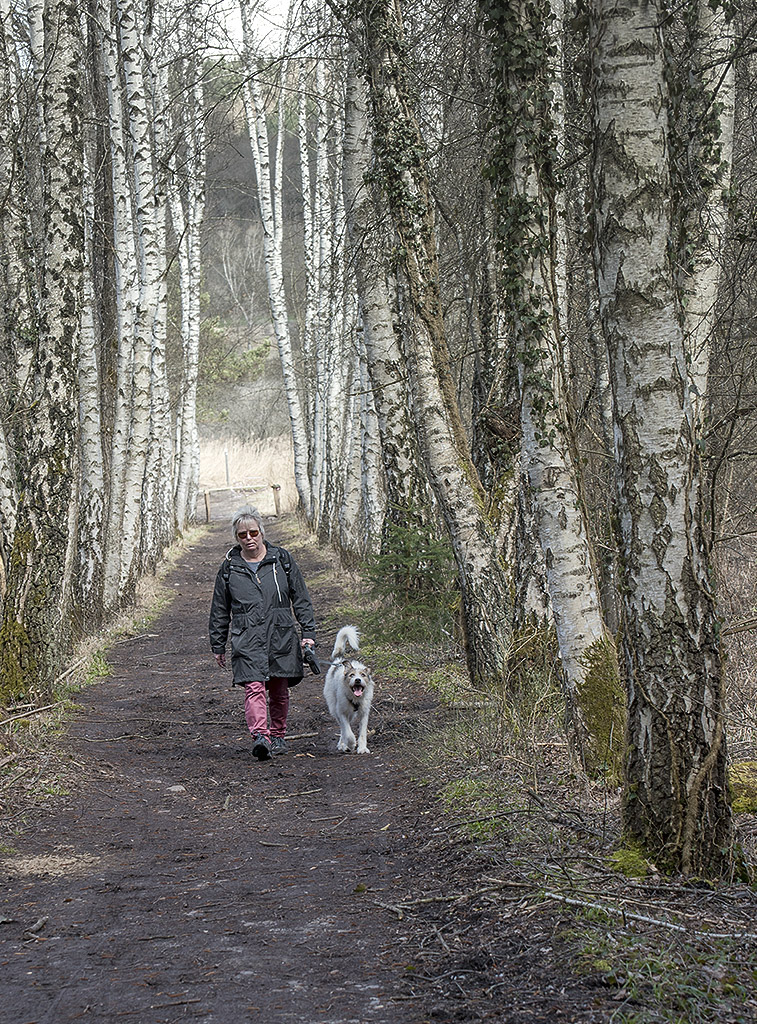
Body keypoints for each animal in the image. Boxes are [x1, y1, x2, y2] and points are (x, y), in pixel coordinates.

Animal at [323, 618, 376, 757]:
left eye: (363, 675)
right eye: (352, 675)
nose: (357, 680)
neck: (355, 698)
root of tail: (339, 661)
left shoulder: (364, 713)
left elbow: (362, 733)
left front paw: (362, 748)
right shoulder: (341, 712)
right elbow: (348, 732)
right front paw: (351, 744)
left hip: (351, 714)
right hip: (334, 708)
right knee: (343, 728)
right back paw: (343, 744)